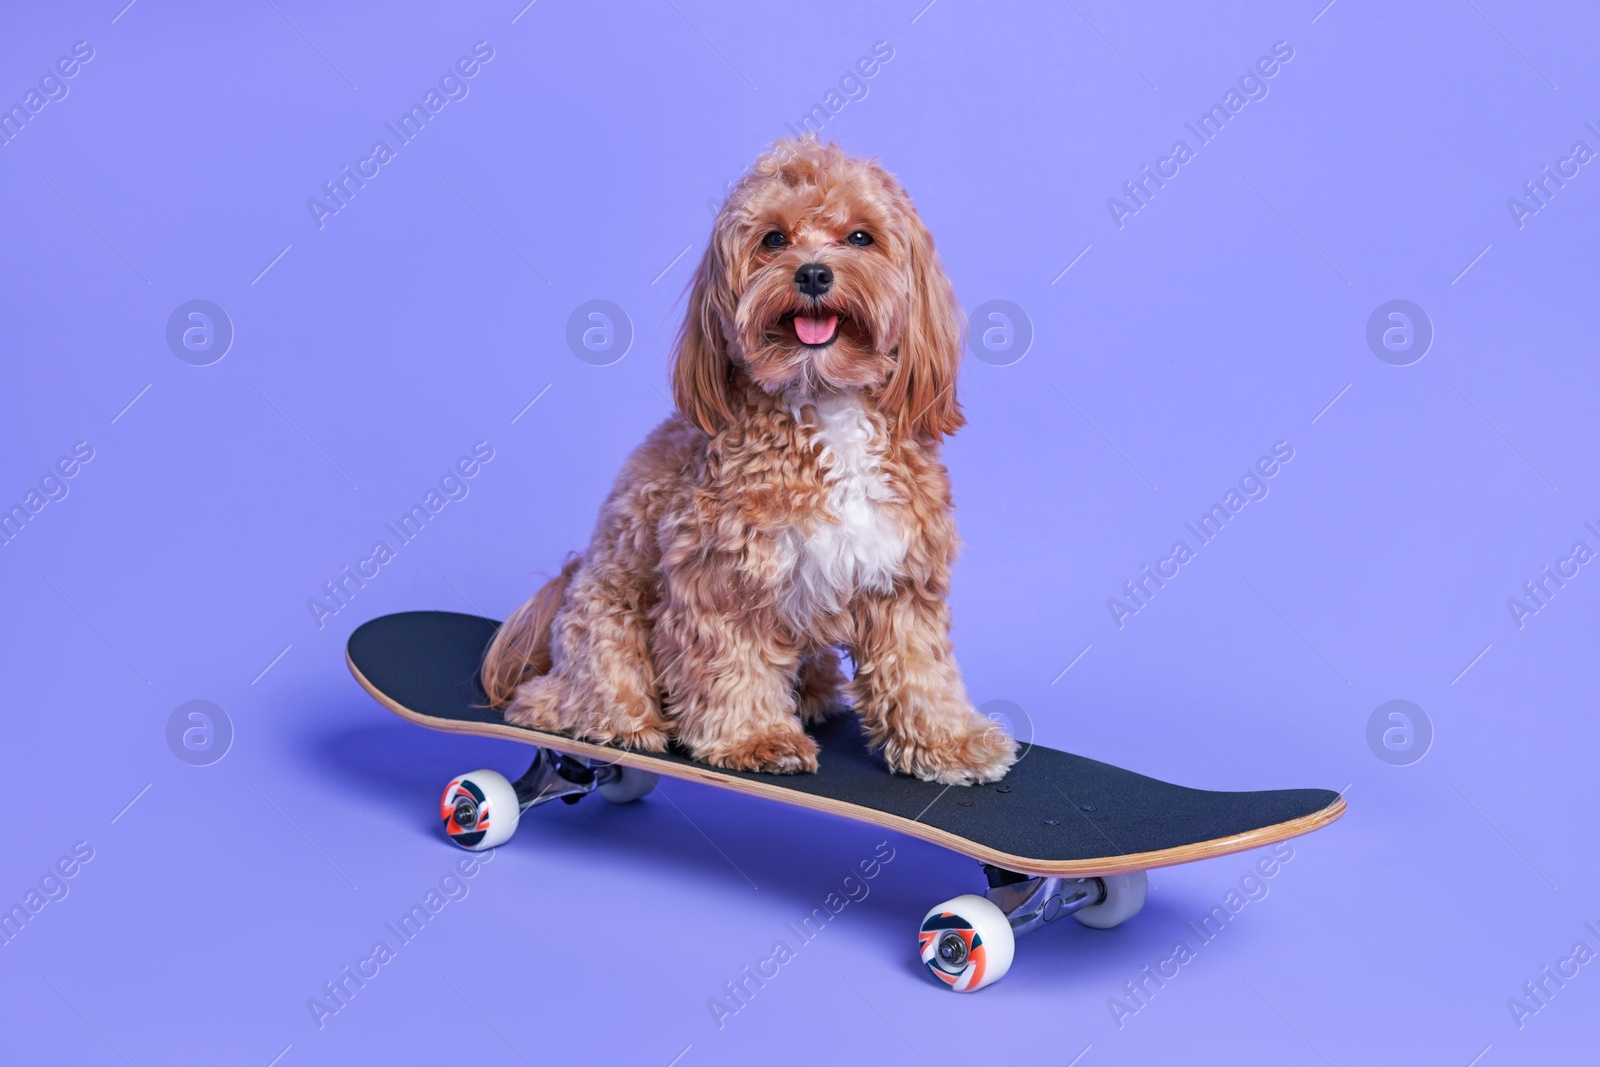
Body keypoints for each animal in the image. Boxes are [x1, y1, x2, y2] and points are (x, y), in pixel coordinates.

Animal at [480, 137, 1017, 783]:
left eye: (860, 237)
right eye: (774, 239)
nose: (813, 273)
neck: (825, 402)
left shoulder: (904, 577)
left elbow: (919, 668)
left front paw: (948, 742)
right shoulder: (721, 577)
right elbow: (732, 664)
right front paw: (754, 738)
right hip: (603, 624)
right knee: (570, 697)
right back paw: (618, 723)